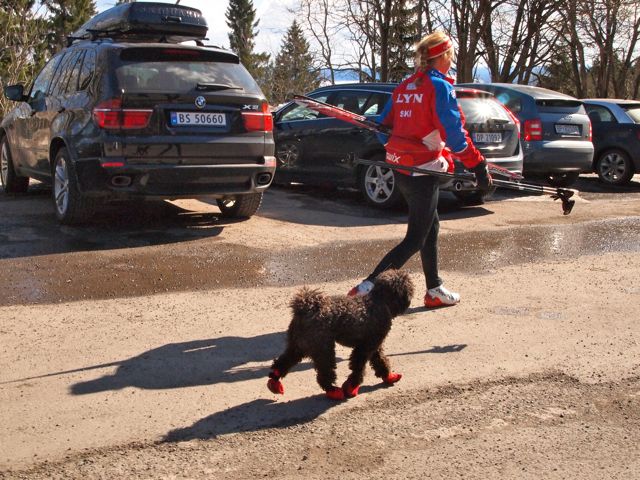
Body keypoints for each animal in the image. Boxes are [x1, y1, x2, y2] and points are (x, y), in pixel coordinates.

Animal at [266, 268, 412, 400]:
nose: (409, 299)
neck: (379, 300)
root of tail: (306, 309)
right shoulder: (365, 347)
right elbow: (358, 368)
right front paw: (351, 387)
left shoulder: (374, 345)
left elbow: (380, 361)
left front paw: (388, 376)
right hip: (323, 349)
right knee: (324, 374)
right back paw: (333, 391)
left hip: (298, 346)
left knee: (282, 363)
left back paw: (274, 383)